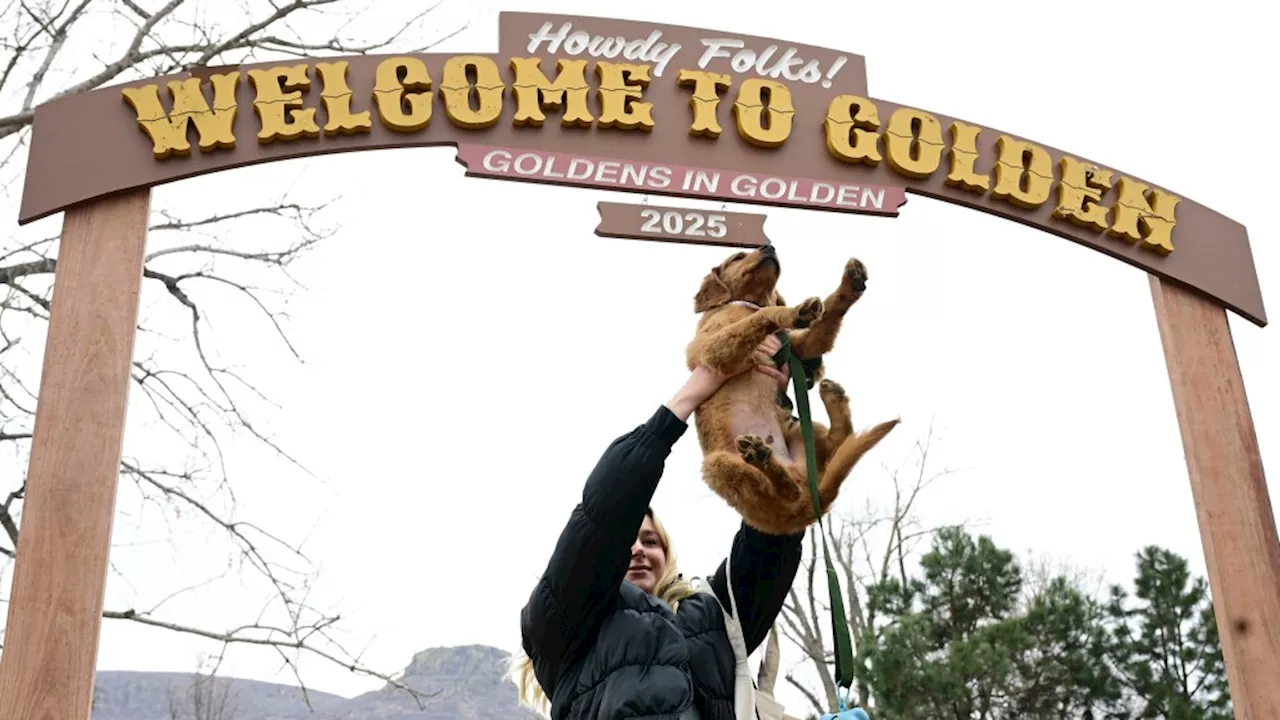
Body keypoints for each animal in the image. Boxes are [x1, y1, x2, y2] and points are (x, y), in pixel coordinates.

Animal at [680, 244, 901, 532]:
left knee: (839, 439)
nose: (769, 246)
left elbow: (828, 315)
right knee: (784, 492)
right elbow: (760, 317)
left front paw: (851, 283)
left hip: (800, 429)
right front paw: (794, 312)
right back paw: (763, 458)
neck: (749, 303)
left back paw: (831, 399)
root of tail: (811, 501)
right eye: (737, 257)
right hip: (717, 466)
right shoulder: (712, 349)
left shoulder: (802, 348)